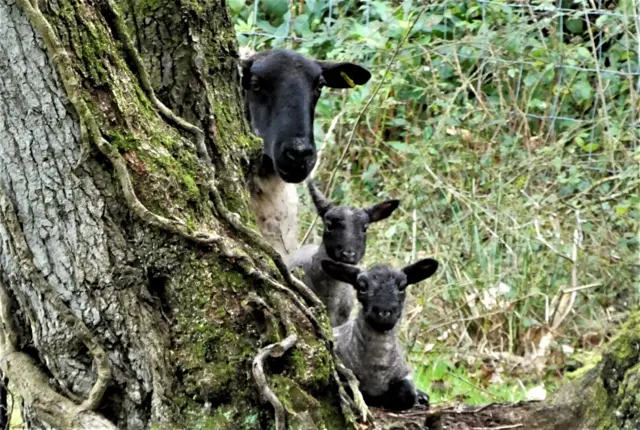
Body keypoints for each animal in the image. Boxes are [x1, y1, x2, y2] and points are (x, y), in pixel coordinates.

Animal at [321, 257, 439, 411]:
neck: (377, 369)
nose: (384, 312)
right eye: (362, 287)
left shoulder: (404, 374)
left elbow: (406, 395)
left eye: (402, 287)